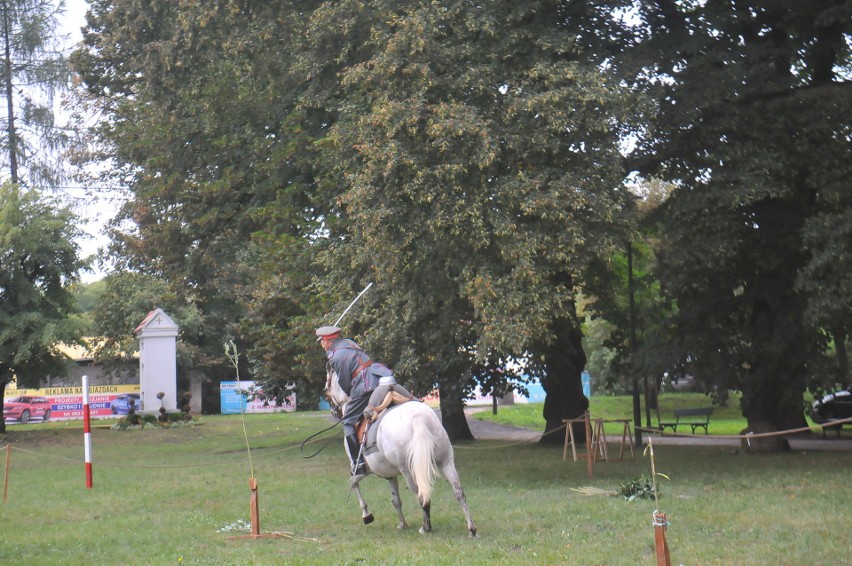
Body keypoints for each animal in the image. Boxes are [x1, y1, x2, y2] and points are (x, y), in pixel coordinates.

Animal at [326, 370, 476, 540]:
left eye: (328, 386)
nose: (333, 411)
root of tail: (417, 417)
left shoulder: (362, 470)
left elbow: (353, 483)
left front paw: (366, 515)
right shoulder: (389, 474)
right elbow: (395, 499)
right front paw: (402, 524)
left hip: (408, 470)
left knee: (422, 494)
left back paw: (426, 527)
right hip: (446, 462)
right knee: (459, 492)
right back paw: (471, 529)